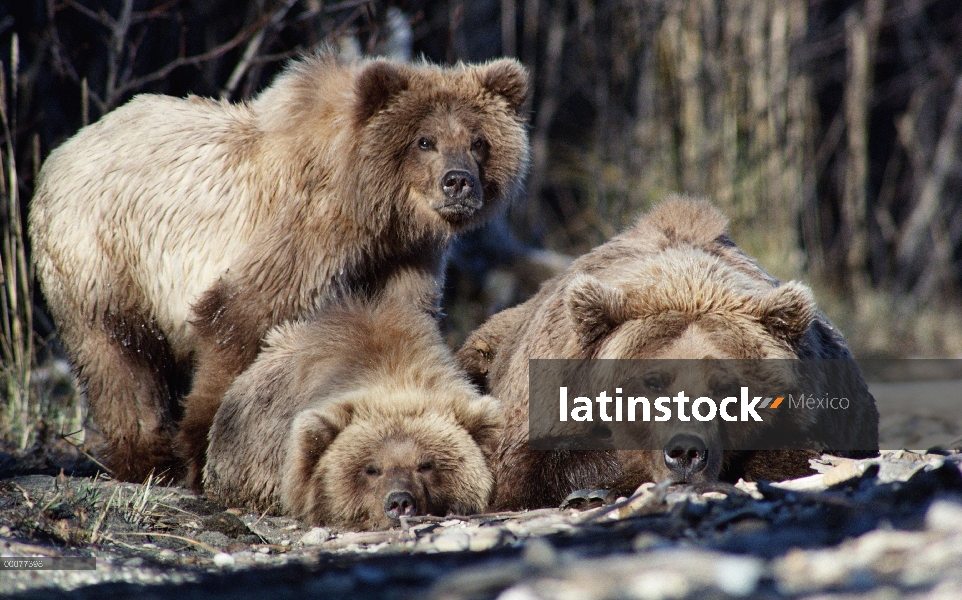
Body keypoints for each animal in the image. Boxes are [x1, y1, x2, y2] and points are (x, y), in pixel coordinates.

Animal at [30, 51, 528, 490]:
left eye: (478, 141)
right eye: (425, 140)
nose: (458, 182)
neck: (372, 209)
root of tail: (64, 149)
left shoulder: (402, 257)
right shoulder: (304, 232)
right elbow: (239, 316)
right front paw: (206, 450)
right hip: (103, 251)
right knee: (118, 353)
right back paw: (149, 460)